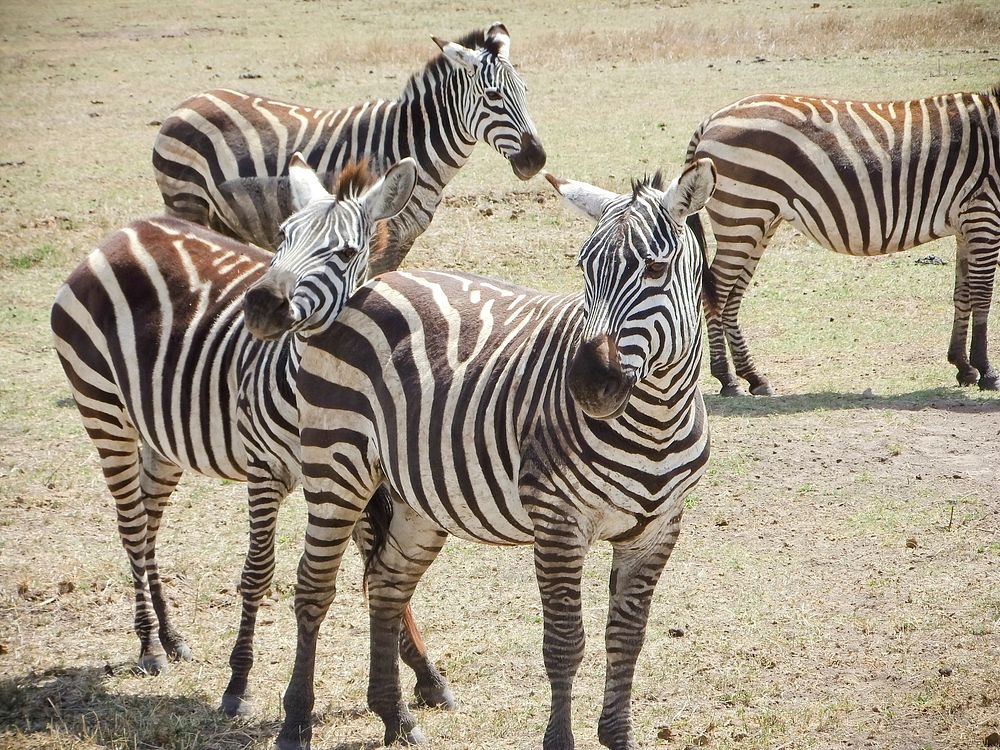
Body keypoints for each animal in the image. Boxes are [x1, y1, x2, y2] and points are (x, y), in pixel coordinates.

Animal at [51, 156, 458, 720]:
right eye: (283, 236)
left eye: (346, 252)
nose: (262, 304)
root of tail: (125, 232)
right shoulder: (266, 472)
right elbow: (259, 571)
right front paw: (239, 683)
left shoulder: (356, 476)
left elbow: (380, 568)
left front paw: (425, 673)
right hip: (102, 409)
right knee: (131, 524)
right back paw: (150, 645)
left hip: (161, 432)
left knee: (149, 519)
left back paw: (171, 636)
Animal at [152, 22, 548, 276]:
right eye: (493, 96)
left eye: (525, 90)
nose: (537, 159)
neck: (411, 147)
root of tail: (187, 103)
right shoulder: (371, 237)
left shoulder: (400, 241)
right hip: (186, 202)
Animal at [262, 160, 720, 750]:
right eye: (584, 266)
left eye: (657, 269)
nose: (587, 384)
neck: (657, 421)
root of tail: (373, 284)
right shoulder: (558, 519)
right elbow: (565, 642)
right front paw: (560, 741)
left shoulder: (659, 529)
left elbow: (627, 638)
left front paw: (618, 737)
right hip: (335, 465)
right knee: (314, 586)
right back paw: (296, 721)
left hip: (414, 496)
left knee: (386, 584)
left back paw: (395, 717)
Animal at [688, 84, 1000, 396]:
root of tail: (713, 118)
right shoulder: (984, 214)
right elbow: (983, 294)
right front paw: (986, 371)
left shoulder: (965, 225)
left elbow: (963, 294)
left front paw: (964, 366)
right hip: (742, 215)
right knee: (715, 292)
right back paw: (727, 379)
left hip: (759, 222)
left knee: (732, 295)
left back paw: (753, 377)